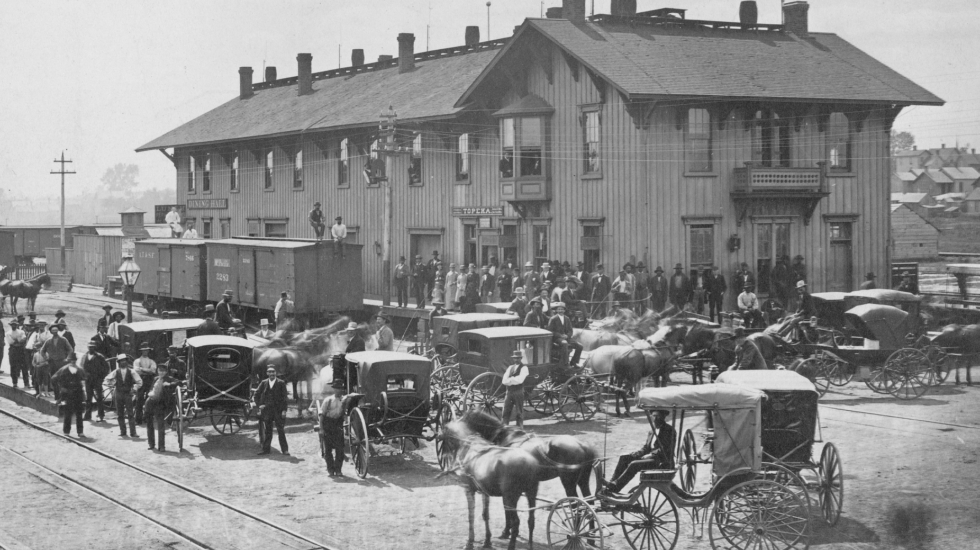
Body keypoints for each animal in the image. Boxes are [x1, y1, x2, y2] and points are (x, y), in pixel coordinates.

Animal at [440, 418, 540, 550]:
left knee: (516, 522)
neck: (470, 444)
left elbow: (471, 516)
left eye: (443, 439)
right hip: (531, 494)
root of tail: (528, 463)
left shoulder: (468, 489)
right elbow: (485, 514)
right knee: (531, 520)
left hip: (509, 498)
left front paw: (470, 542)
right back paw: (530, 545)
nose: (445, 459)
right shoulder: (484, 491)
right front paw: (487, 541)